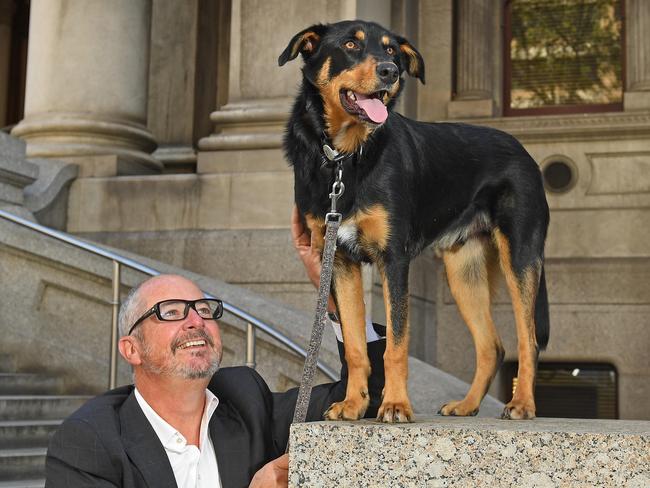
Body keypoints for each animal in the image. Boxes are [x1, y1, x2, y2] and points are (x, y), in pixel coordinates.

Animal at [278, 21, 548, 422]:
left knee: (527, 339)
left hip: (520, 255)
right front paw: (354, 404)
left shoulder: (394, 259)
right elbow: (356, 346)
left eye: (392, 51)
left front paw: (394, 405)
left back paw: (522, 403)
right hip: (463, 270)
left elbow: (396, 344)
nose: (390, 72)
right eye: (350, 45)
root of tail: (523, 151)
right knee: (492, 346)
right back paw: (467, 404)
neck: (346, 157)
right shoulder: (339, 260)